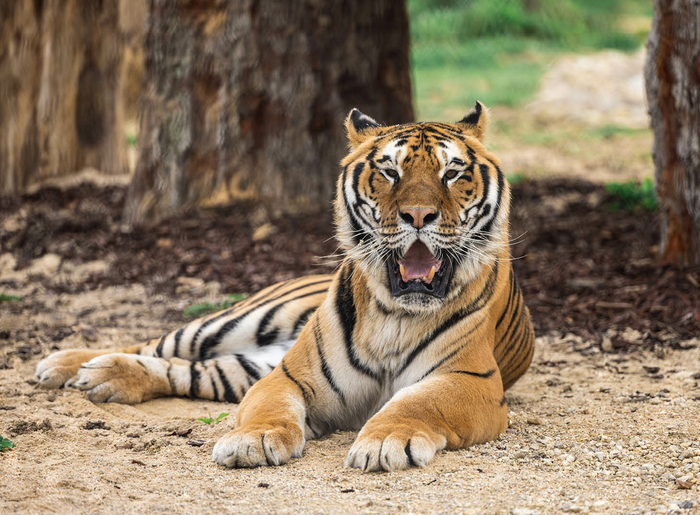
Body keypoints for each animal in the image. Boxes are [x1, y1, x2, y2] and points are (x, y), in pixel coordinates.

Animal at [35, 102, 535, 471]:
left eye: (453, 173)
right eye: (390, 171)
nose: (417, 214)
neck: (395, 314)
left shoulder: (469, 380)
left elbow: (416, 404)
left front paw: (385, 441)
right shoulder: (289, 375)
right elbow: (267, 409)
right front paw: (251, 441)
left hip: (242, 366)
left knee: (185, 369)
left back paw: (102, 376)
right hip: (235, 323)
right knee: (157, 344)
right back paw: (69, 364)